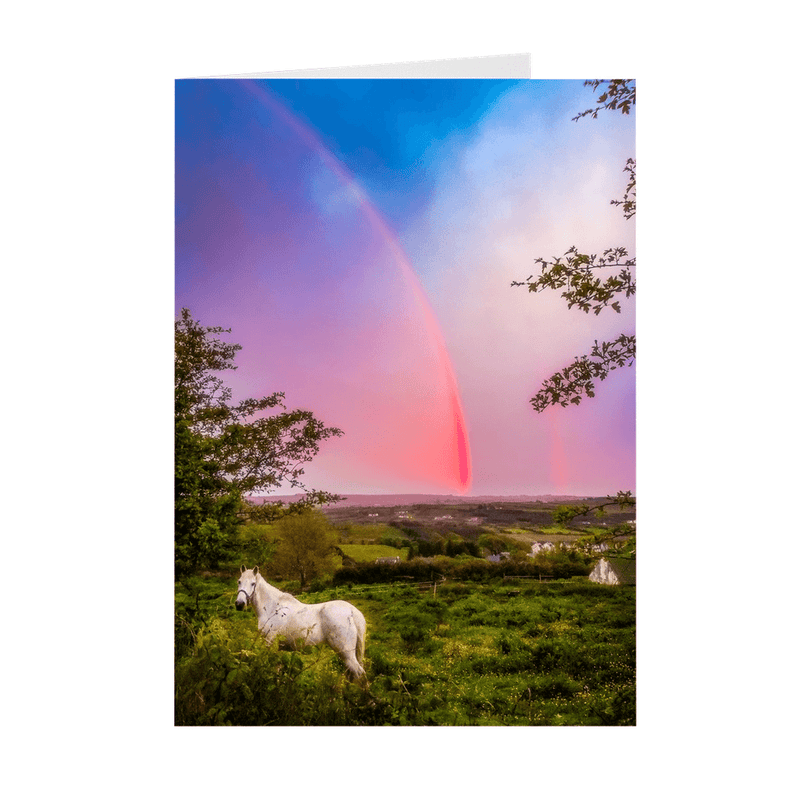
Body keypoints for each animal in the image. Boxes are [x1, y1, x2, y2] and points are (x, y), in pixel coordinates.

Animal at [233, 564, 368, 680]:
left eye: (253, 583)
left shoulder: (270, 641)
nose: (239, 604)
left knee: (359, 674)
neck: (273, 607)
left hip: (346, 653)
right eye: (239, 581)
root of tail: (352, 612)